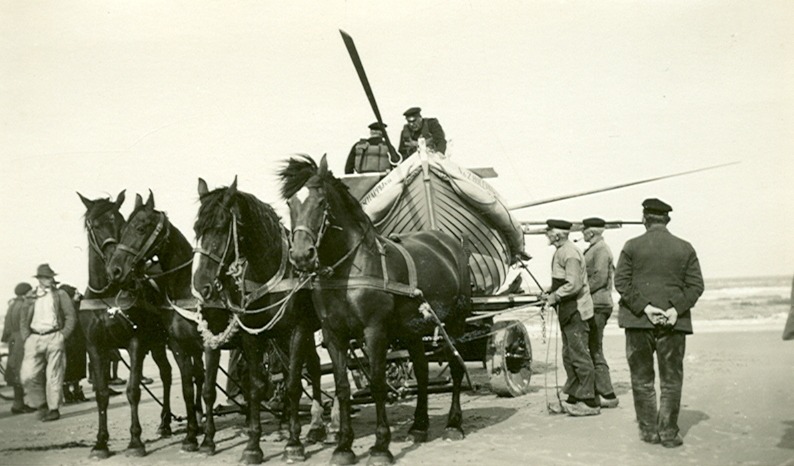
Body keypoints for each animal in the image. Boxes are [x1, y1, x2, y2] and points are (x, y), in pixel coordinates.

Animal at [76, 190, 175, 458]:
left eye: (120, 224)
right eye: (94, 225)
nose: (115, 267)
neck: (108, 295)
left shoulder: (135, 343)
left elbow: (133, 391)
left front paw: (136, 440)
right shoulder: (95, 347)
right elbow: (101, 394)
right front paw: (101, 443)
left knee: (173, 374)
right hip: (157, 345)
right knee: (167, 372)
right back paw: (165, 423)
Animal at [105, 192, 209, 452]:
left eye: (141, 228)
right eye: (123, 230)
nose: (115, 271)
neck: (184, 288)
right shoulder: (179, 346)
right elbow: (186, 386)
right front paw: (191, 434)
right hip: (158, 345)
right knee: (175, 374)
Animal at [193, 177, 330, 464]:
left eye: (221, 227)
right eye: (196, 229)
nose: (201, 285)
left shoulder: (298, 330)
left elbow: (293, 384)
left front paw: (294, 443)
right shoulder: (250, 335)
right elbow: (254, 387)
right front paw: (252, 445)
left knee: (310, 370)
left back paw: (315, 425)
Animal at [280, 155, 470, 464]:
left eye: (321, 202)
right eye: (290, 204)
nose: (300, 255)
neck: (348, 272)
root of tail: (451, 243)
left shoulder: (375, 331)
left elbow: (379, 383)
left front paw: (381, 446)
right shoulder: (334, 334)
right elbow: (343, 388)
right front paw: (343, 446)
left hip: (455, 321)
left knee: (455, 367)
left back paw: (454, 424)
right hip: (412, 330)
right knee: (421, 370)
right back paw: (419, 425)